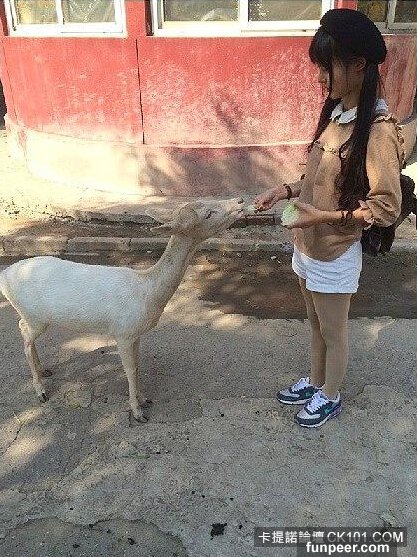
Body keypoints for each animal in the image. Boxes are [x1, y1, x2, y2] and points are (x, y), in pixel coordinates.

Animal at [0, 198, 245, 423]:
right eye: (208, 213)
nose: (240, 201)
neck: (147, 293)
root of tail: (4, 276)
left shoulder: (136, 334)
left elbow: (137, 365)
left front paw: (145, 399)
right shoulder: (122, 333)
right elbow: (130, 370)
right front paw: (138, 413)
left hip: (37, 318)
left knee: (23, 331)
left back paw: (44, 370)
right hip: (34, 316)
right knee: (24, 334)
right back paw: (40, 390)